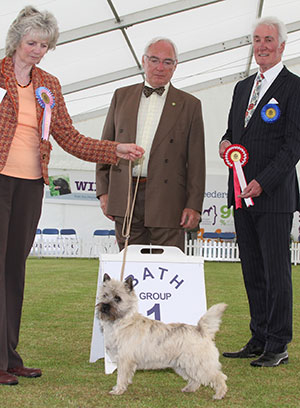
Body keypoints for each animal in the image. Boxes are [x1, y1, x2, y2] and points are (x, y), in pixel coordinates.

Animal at [96, 272, 227, 400]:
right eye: (105, 295)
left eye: (117, 298)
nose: (104, 306)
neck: (121, 322)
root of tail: (200, 330)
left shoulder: (124, 360)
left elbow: (121, 377)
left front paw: (118, 390)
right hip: (184, 365)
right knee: (196, 379)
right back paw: (189, 389)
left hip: (199, 364)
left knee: (219, 376)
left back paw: (219, 394)